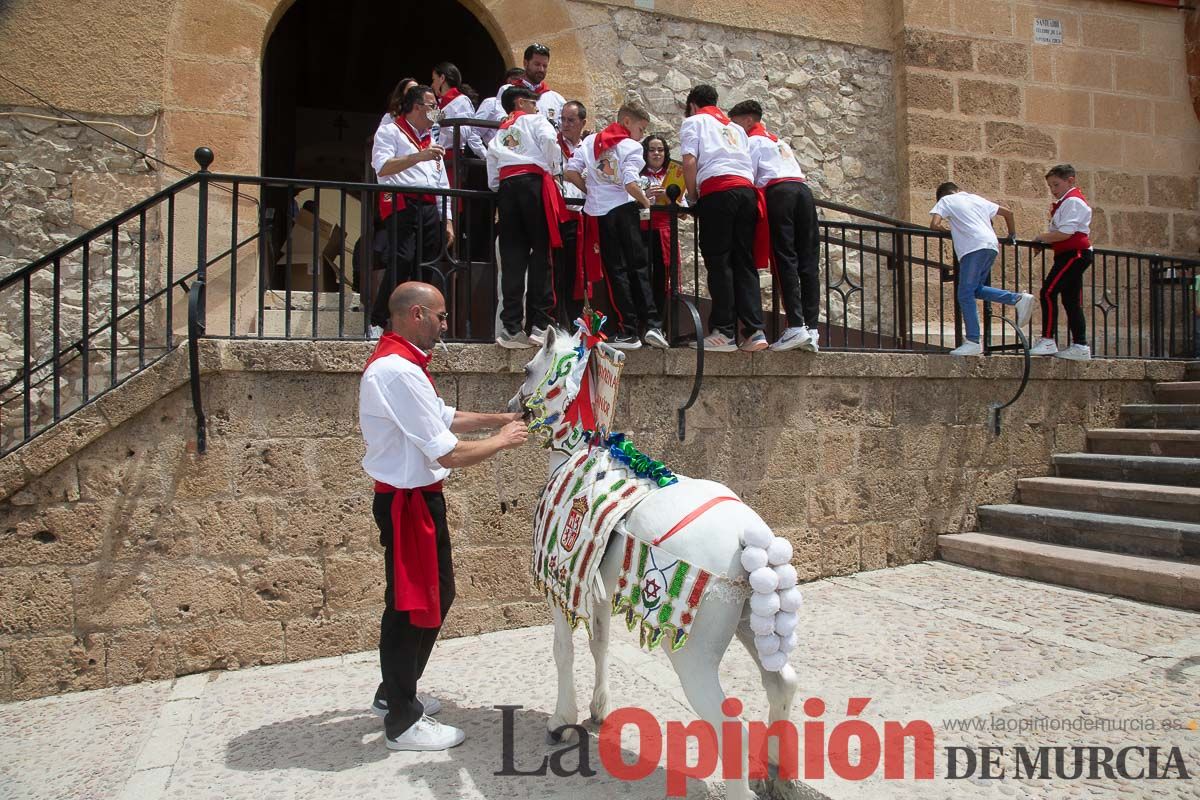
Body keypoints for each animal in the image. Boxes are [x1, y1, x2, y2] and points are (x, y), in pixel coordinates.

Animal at [511, 326, 801, 800]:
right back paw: (778, 770)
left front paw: (561, 721)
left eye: (527, 368)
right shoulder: (600, 588)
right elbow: (600, 644)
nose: (511, 407)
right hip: (751, 623)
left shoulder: (562, 584)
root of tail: (750, 538)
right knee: (781, 682)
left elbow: (563, 649)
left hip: (692, 654)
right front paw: (599, 710)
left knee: (731, 728)